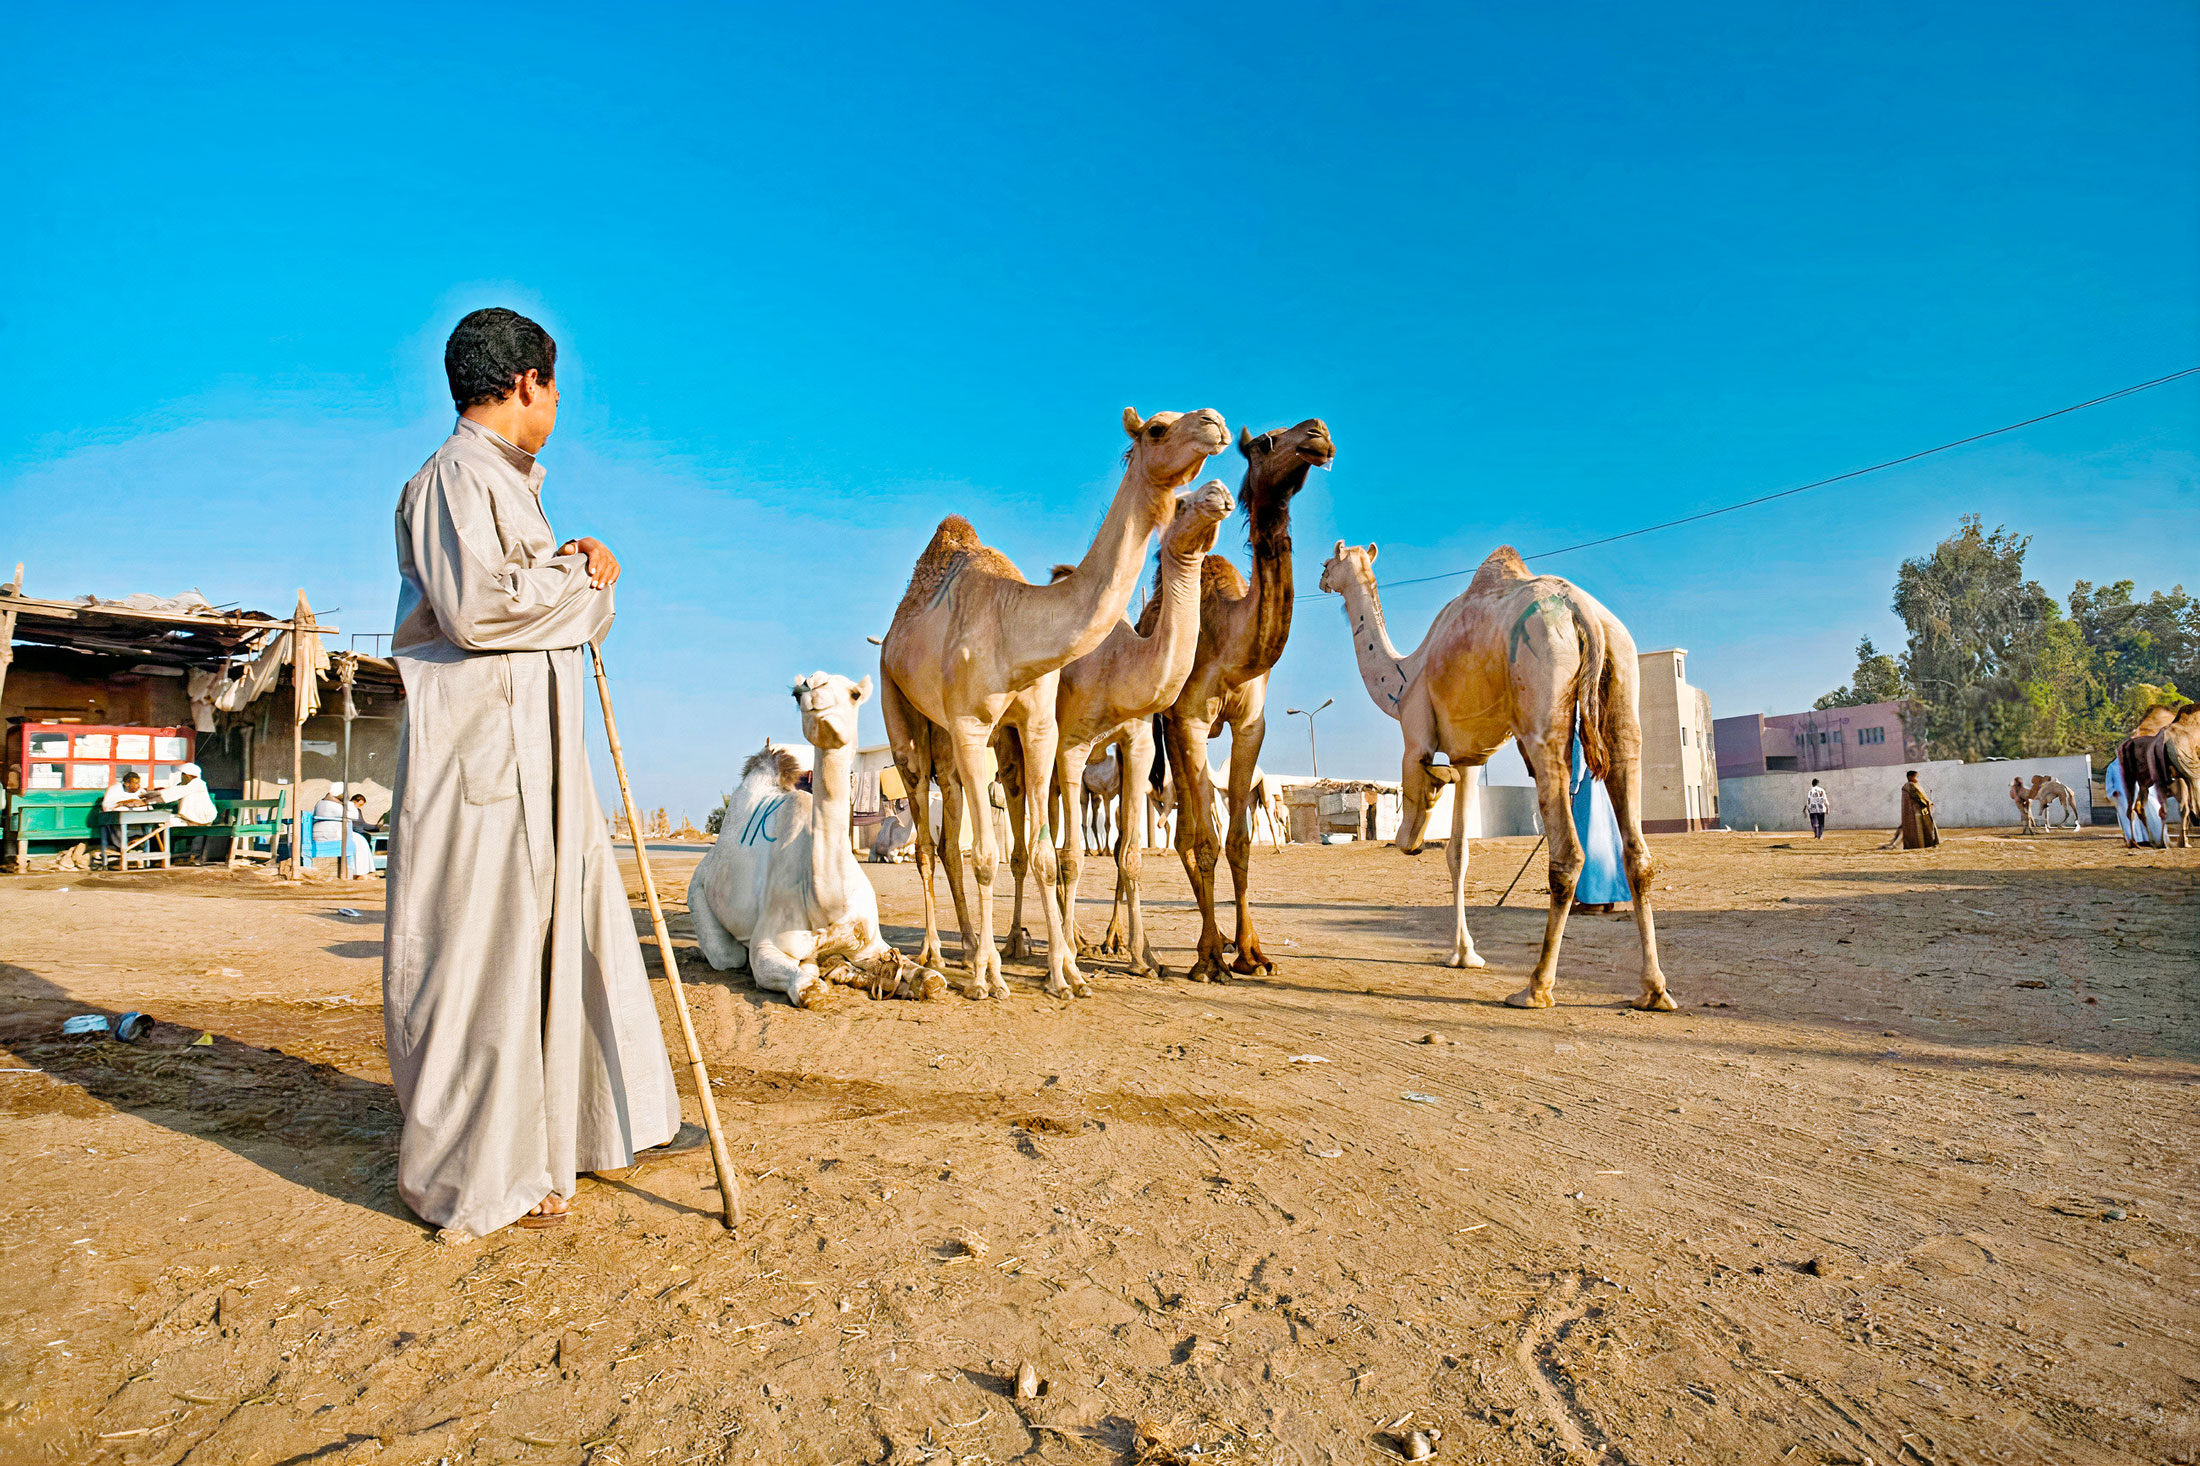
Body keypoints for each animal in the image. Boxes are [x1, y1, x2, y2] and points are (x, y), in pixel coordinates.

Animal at [688, 675, 945, 1007]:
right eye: (799, 692)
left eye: (855, 693)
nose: (814, 692)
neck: (827, 908)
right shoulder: (765, 947)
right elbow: (810, 988)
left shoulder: (871, 943)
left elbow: (932, 980)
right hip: (698, 895)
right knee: (729, 955)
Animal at [880, 407, 1229, 999]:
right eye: (1157, 429)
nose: (1216, 422)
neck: (1015, 627)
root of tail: (890, 638)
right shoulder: (984, 726)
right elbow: (991, 857)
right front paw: (989, 979)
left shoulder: (1043, 727)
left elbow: (1053, 856)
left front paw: (1070, 974)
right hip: (901, 712)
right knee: (927, 836)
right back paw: (942, 953)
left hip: (951, 736)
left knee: (950, 834)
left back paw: (973, 943)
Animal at [1155, 419, 1335, 981]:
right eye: (1264, 443)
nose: (1318, 434)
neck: (1232, 641)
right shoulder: (1190, 717)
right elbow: (1208, 841)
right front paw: (1212, 959)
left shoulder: (1251, 722)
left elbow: (1237, 840)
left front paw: (1252, 952)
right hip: (1163, 727)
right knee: (1186, 835)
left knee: (1188, 831)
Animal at [1319, 541, 1676, 1011]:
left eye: (1328, 562)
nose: (1321, 580)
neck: (1402, 676)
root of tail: (1583, 614)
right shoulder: (1470, 755)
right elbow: (1458, 852)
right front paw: (1463, 954)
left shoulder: (1416, 735)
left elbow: (1415, 823)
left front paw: (1426, 804)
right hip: (1623, 687)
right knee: (1637, 848)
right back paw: (1653, 990)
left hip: (1542, 702)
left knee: (1567, 853)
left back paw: (1535, 987)